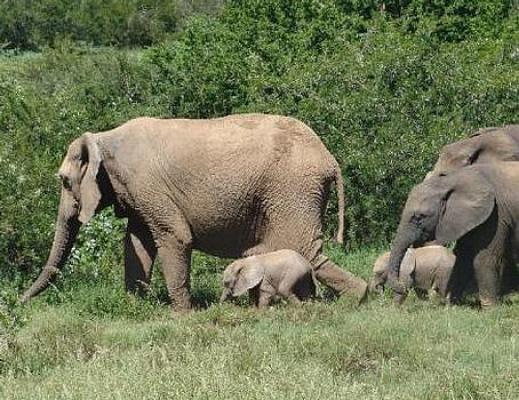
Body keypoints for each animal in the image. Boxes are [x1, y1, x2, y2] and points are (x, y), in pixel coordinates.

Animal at [21, 114, 370, 310]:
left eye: (64, 181)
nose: (20, 302)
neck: (104, 139)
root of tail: (329, 158)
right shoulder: (136, 194)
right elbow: (137, 244)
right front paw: (133, 307)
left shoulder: (147, 185)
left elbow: (175, 237)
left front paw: (181, 315)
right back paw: (358, 297)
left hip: (292, 189)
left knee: (303, 249)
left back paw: (357, 299)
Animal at [388, 162, 519, 310]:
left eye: (419, 217)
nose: (402, 287)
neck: (452, 180)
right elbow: (463, 258)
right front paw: (452, 305)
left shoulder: (496, 215)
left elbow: (485, 258)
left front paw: (490, 309)